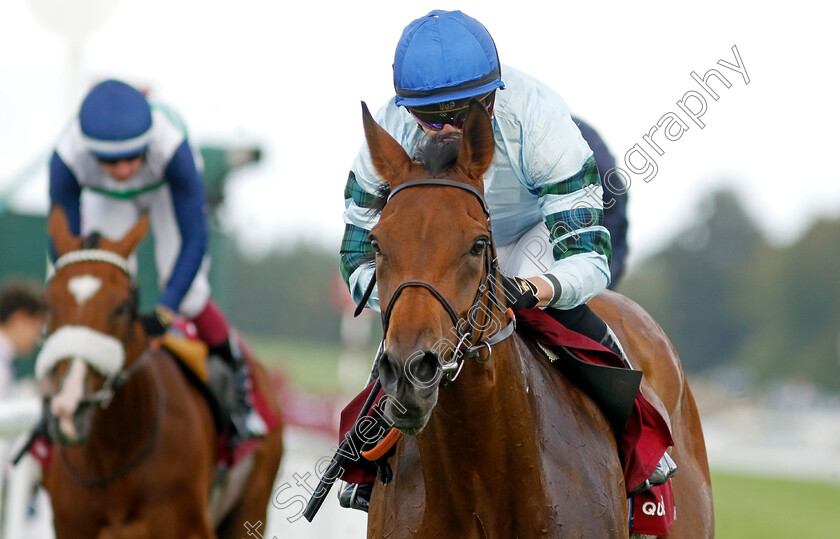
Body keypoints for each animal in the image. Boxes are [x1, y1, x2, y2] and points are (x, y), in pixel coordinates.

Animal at [38, 208, 286, 539]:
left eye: (122, 307)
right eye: (47, 304)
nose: (68, 406)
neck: (113, 456)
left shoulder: (190, 528)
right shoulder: (72, 528)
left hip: (252, 506)